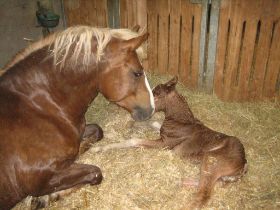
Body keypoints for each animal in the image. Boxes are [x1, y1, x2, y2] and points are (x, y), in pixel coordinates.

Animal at [94, 76, 247, 208]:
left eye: (155, 95)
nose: (141, 110)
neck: (181, 121)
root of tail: (243, 165)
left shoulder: (165, 144)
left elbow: (135, 140)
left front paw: (99, 148)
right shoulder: (164, 134)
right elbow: (154, 123)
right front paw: (133, 125)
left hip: (211, 161)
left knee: (202, 195)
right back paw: (180, 181)